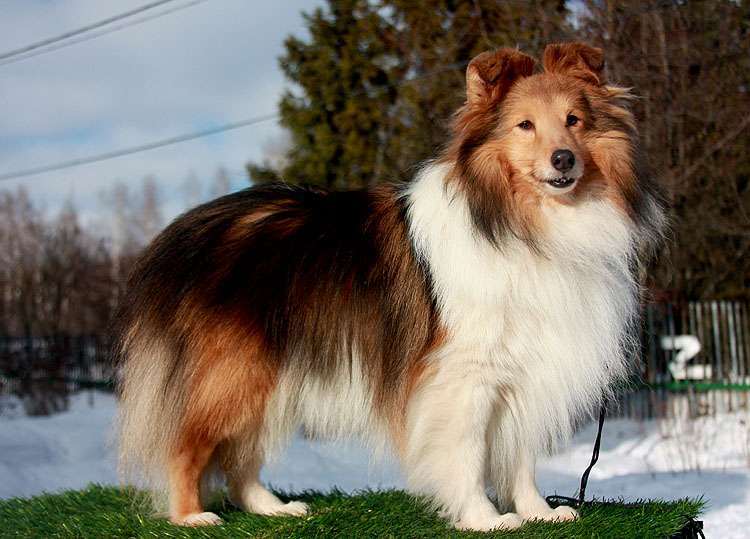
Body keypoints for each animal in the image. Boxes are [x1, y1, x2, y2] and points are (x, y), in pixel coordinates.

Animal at [114, 43, 668, 532]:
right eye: (524, 124)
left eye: (574, 120)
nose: (563, 160)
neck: (518, 220)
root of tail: (181, 234)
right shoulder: (463, 375)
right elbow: (468, 451)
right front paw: (485, 519)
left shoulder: (524, 370)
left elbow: (520, 455)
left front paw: (538, 513)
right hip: (232, 374)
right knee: (187, 443)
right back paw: (191, 516)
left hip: (271, 377)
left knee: (240, 455)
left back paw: (273, 509)